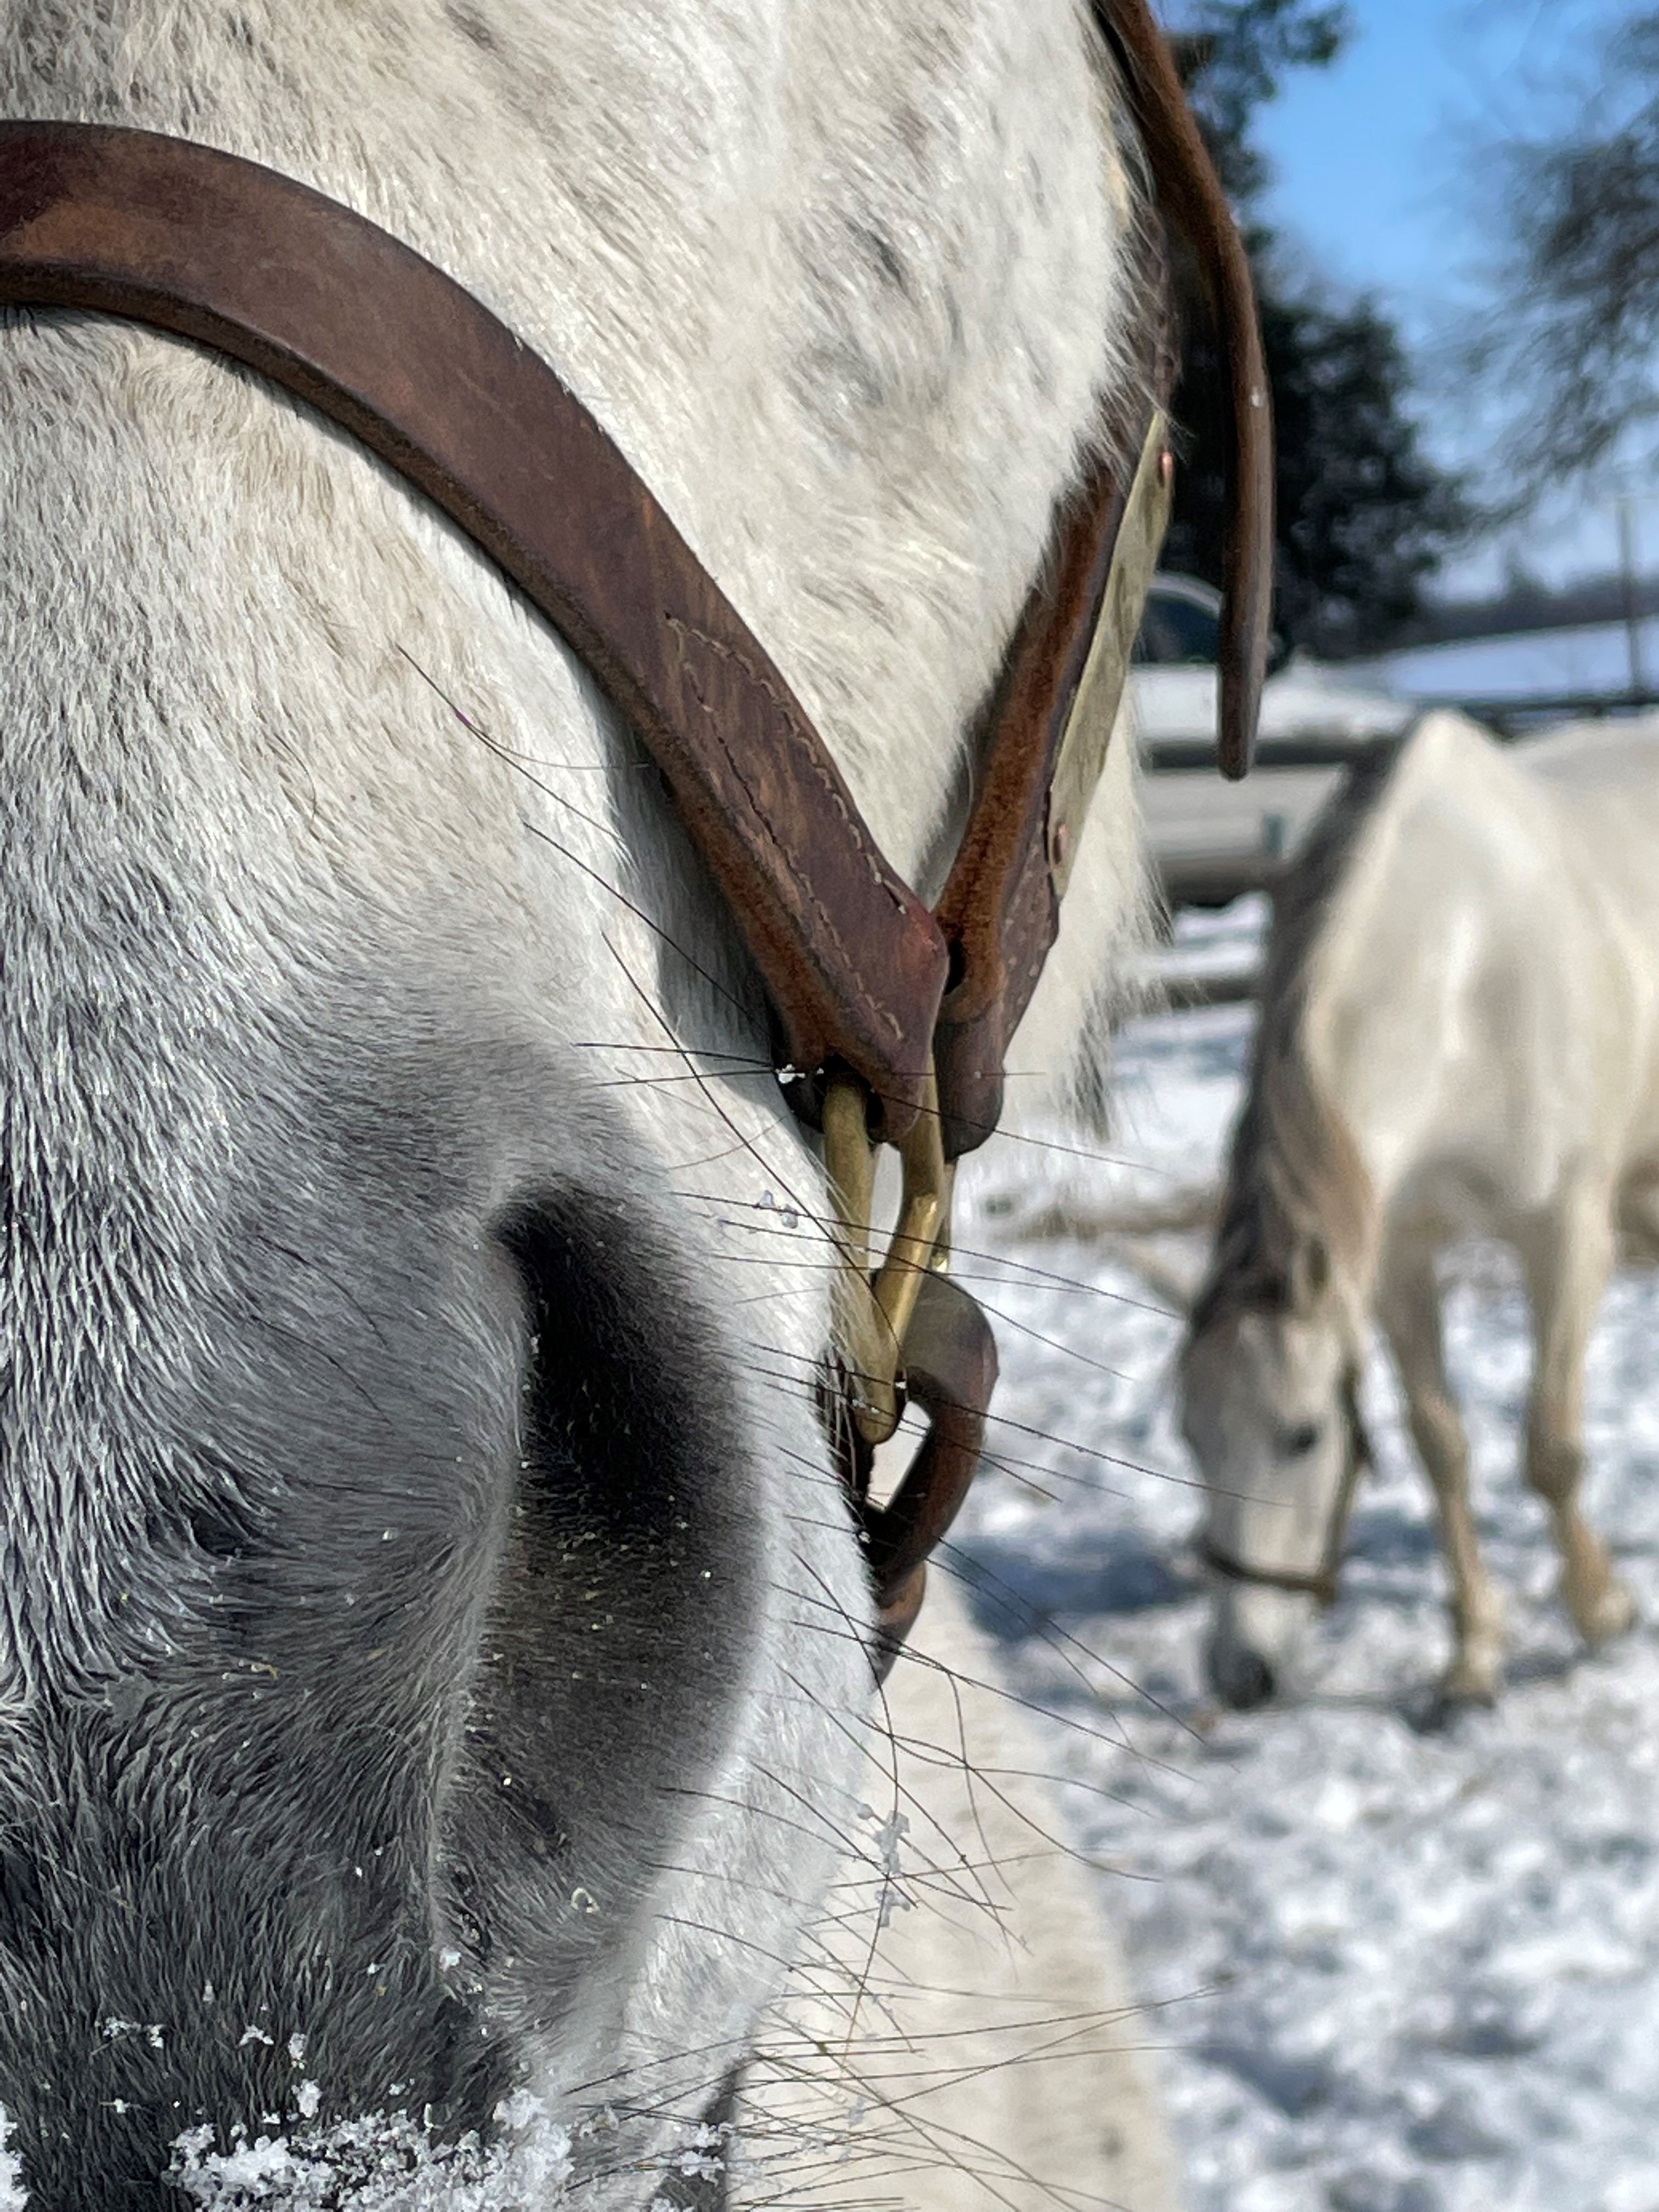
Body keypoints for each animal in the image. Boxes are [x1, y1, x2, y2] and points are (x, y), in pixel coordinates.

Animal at [1177, 716, 1659, 1716]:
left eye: (1303, 1435)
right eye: (1191, 1435)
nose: (1240, 1675)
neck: (1466, 982)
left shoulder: (1563, 1238)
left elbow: (1549, 1449)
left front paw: (1600, 1611)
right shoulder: (1397, 1256)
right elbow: (1441, 1447)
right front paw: (1473, 1655)